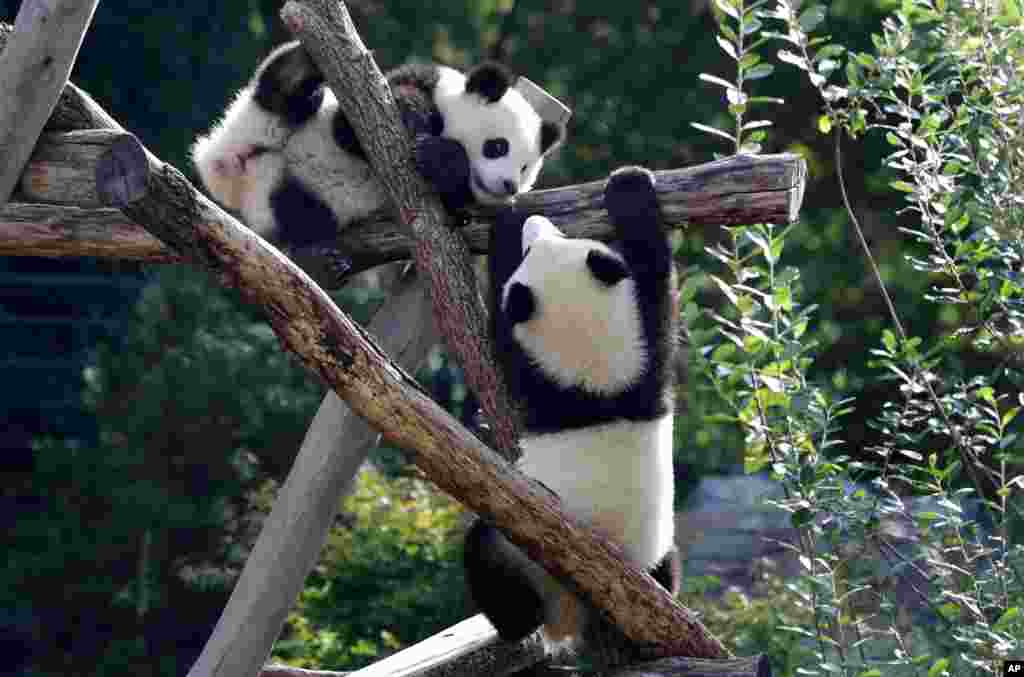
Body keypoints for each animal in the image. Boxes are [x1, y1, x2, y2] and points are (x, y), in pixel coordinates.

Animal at [191, 41, 566, 251]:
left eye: (525, 168)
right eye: (497, 146)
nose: (509, 185)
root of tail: (231, 167)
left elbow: (455, 207)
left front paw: (442, 161)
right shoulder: (395, 90)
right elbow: (351, 129)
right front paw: (419, 125)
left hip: (289, 196)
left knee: (299, 212)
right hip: (266, 118)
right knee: (281, 91)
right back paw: (299, 65)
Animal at [465, 166, 680, 654]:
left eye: (534, 249)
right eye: (555, 237)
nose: (535, 222)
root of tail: (569, 617)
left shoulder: (537, 376)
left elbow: (499, 341)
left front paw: (505, 225)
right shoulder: (647, 356)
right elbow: (656, 273)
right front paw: (632, 191)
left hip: (522, 555)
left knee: (484, 551)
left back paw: (515, 625)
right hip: (657, 548)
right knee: (670, 565)